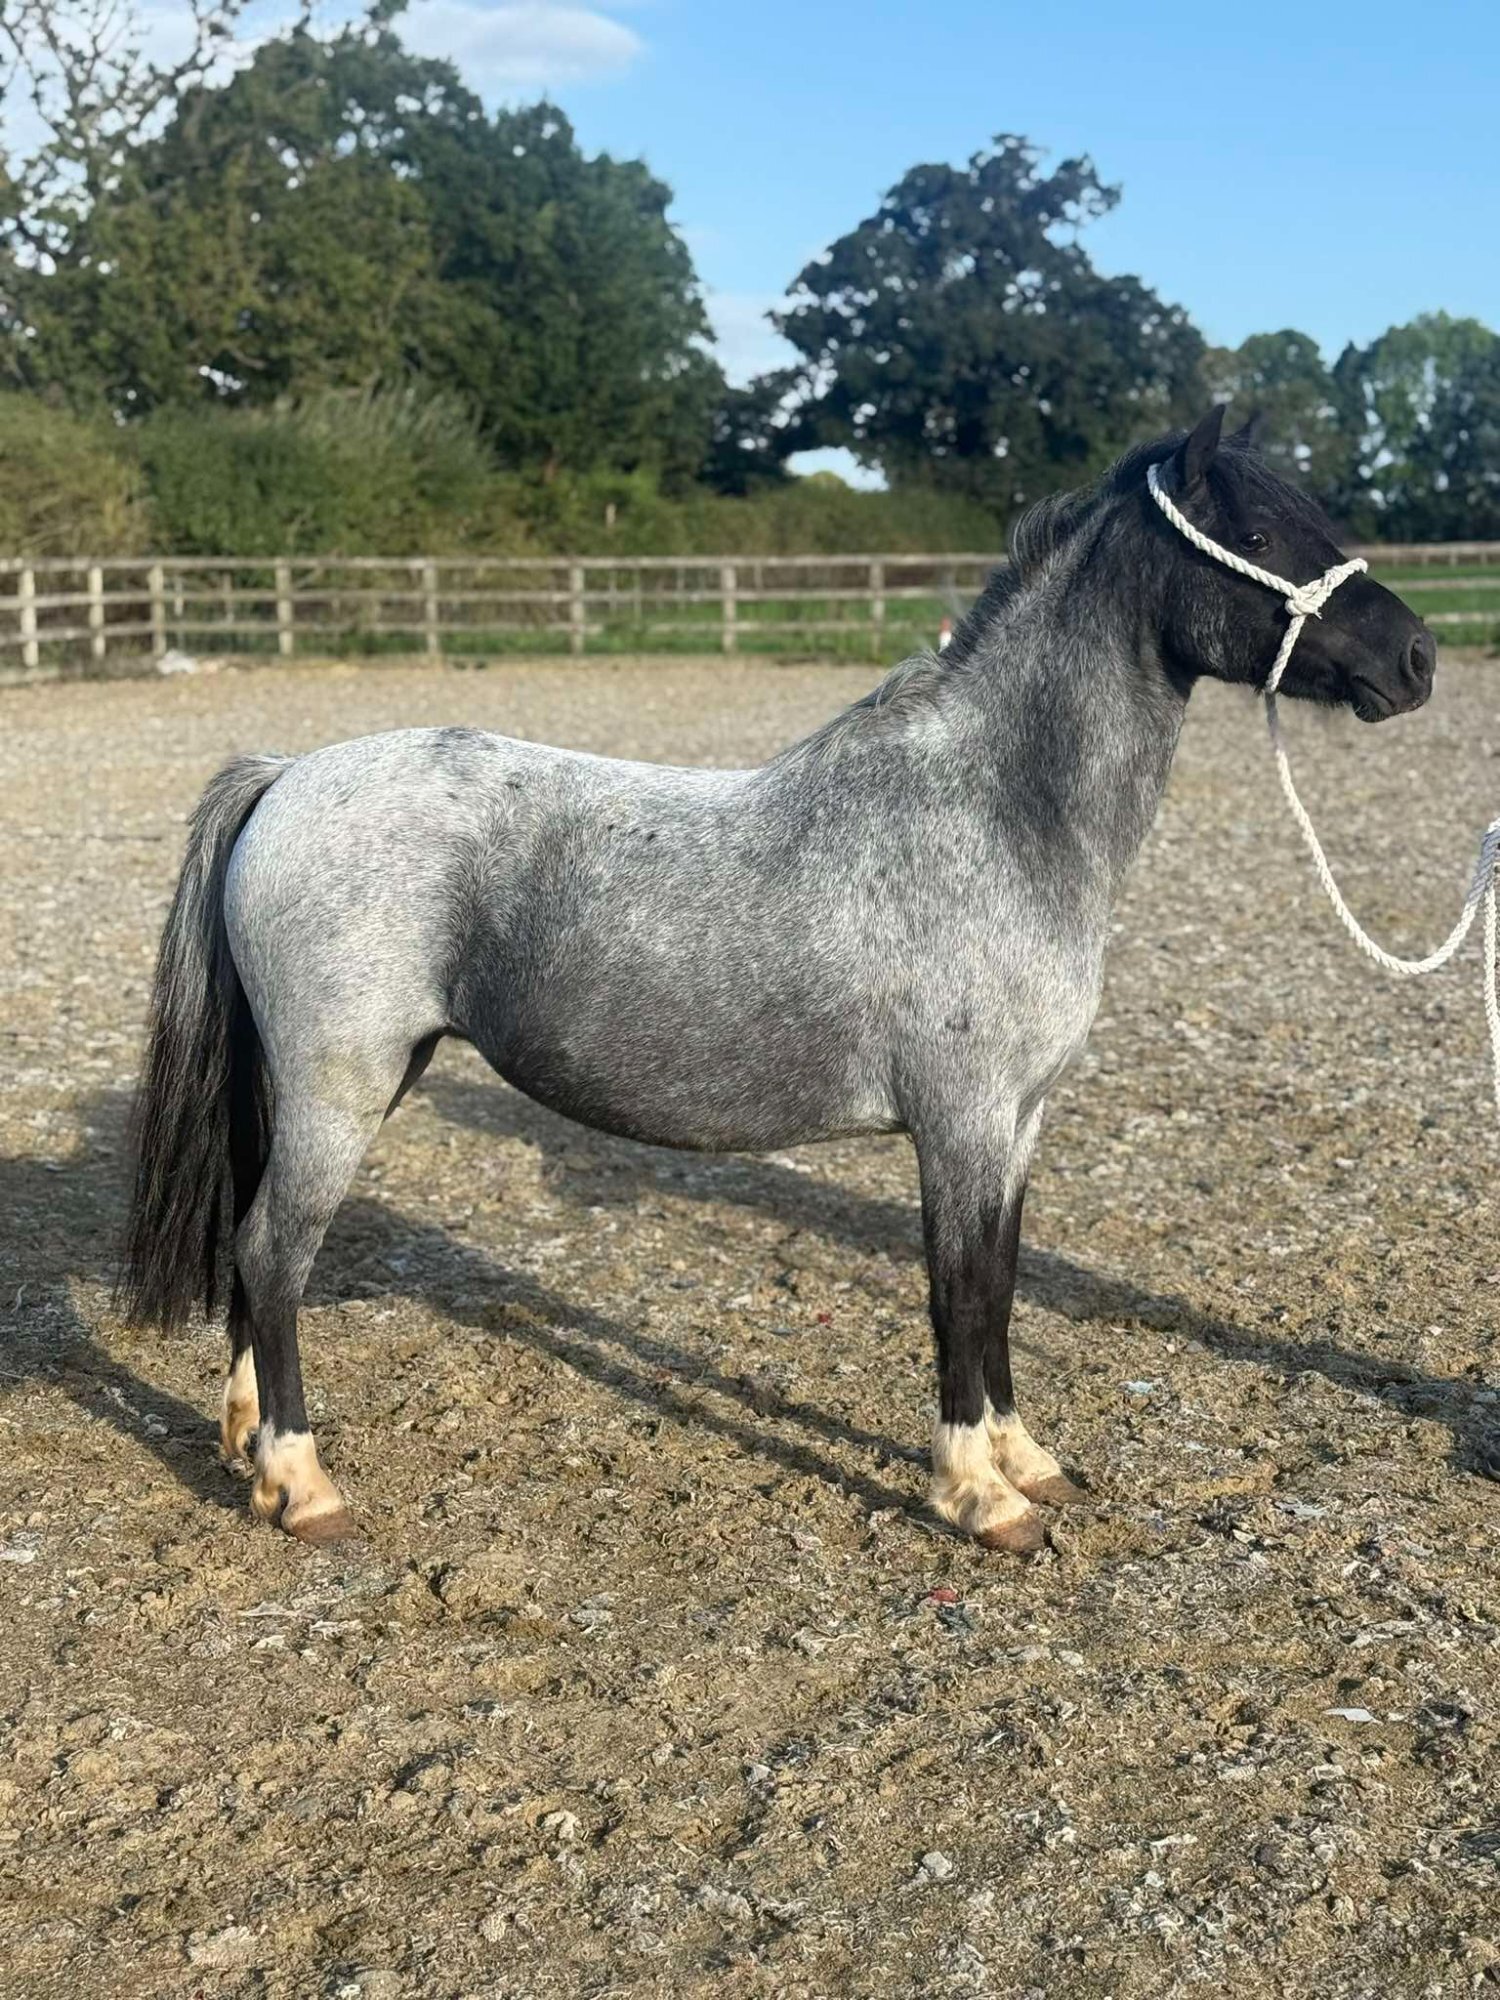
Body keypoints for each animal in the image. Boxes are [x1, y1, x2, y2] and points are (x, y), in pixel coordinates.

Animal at [119, 407, 1436, 1552]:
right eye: (1259, 532)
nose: (1416, 658)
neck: (997, 809)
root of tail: (287, 775)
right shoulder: (959, 1124)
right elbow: (958, 1292)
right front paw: (981, 1496)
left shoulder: (1018, 1122)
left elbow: (1005, 1285)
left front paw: (1025, 1457)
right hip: (340, 1087)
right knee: (272, 1252)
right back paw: (302, 1482)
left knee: (255, 1252)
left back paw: (247, 1444)